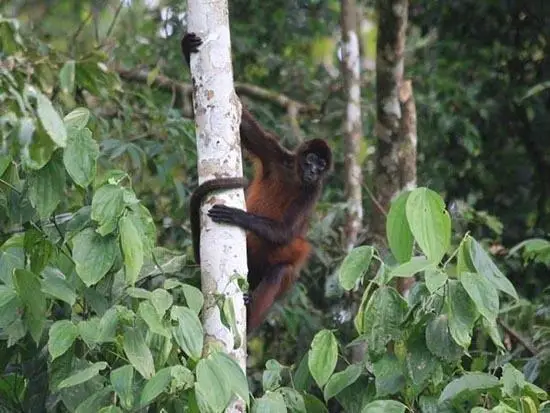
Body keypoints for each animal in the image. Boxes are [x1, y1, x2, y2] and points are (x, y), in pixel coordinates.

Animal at [183, 33, 334, 332]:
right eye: (311, 160)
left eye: (321, 167)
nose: (314, 171)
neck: (295, 176)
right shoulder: (277, 155)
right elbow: (244, 126)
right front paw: (185, 49)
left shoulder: (314, 190)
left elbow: (286, 233)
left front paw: (236, 215)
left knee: (283, 267)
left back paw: (250, 316)